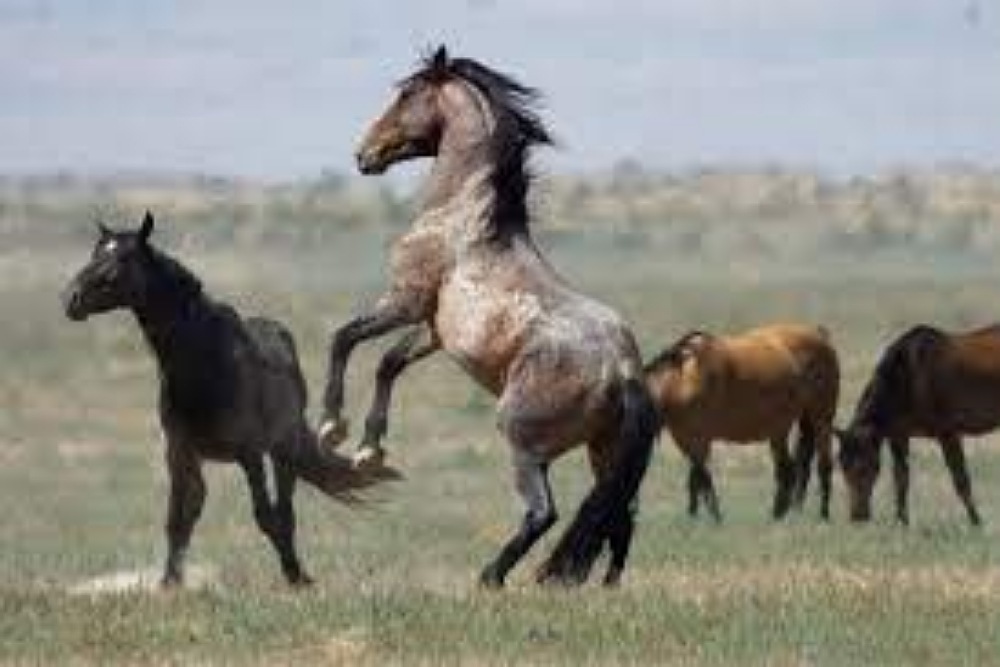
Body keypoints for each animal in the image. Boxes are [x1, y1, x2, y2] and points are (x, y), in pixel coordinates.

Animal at [61, 212, 397, 588]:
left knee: (284, 510)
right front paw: (169, 583)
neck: (207, 362)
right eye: (95, 252)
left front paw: (297, 576)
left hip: (283, 451)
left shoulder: (249, 453)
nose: (71, 299)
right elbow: (178, 518)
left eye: (121, 259)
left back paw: (295, 571)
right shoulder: (179, 452)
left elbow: (266, 516)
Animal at [316, 46, 660, 588]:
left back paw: (491, 577)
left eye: (407, 94)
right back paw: (602, 588)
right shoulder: (433, 330)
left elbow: (344, 338)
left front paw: (331, 426)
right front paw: (369, 449)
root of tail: (624, 373)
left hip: (523, 441)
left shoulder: (403, 302)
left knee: (545, 513)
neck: (462, 216)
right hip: (604, 455)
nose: (364, 154)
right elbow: (388, 363)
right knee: (617, 516)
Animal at [644, 325, 839, 521]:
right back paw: (781, 514)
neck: (683, 380)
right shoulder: (685, 439)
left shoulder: (700, 440)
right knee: (790, 469)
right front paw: (693, 516)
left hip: (821, 420)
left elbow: (702, 477)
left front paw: (715, 518)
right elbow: (695, 479)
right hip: (781, 430)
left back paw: (822, 514)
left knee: (822, 466)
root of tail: (820, 336)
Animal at [837, 324, 1000, 525]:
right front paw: (901, 522)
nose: (858, 516)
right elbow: (901, 479)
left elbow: (961, 480)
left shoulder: (948, 434)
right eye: (842, 466)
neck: (909, 376)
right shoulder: (898, 436)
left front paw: (976, 522)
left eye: (863, 467)